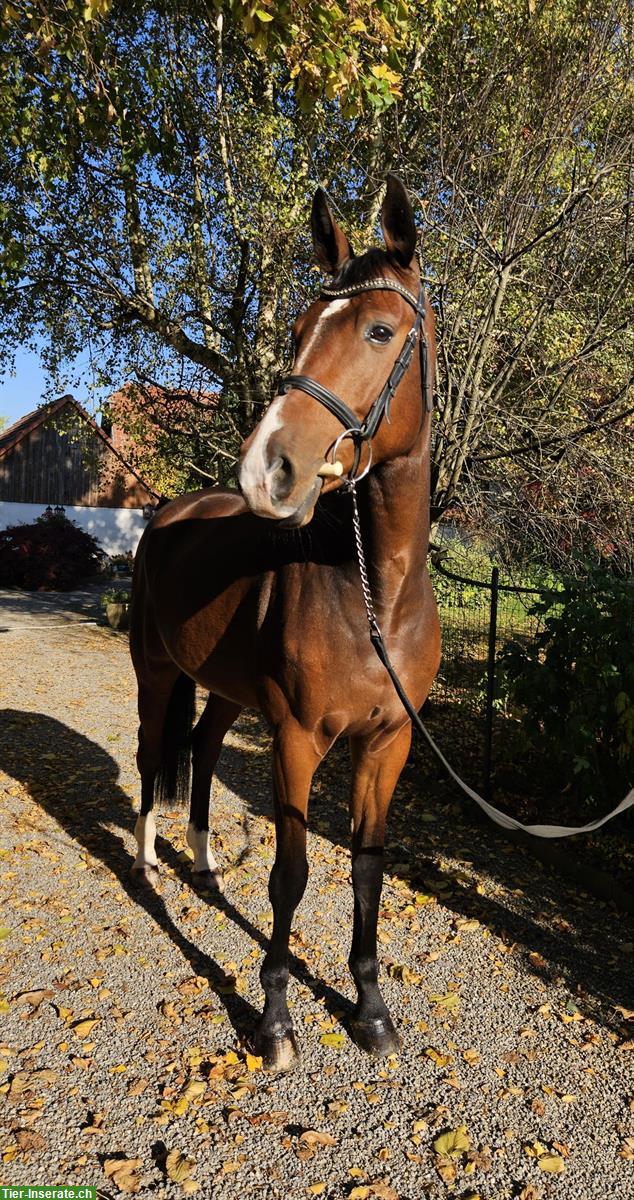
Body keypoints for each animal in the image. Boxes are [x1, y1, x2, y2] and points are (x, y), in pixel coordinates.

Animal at [129, 174, 441, 1070]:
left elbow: (367, 869)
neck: (378, 598)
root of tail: (172, 511)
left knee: (200, 750)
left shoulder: (387, 743)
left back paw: (204, 867)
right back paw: (150, 863)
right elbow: (291, 876)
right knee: (151, 753)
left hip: (226, 690)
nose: (267, 469)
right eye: (299, 331)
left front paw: (371, 1011)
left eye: (380, 330)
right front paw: (274, 1021)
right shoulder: (298, 739)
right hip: (156, 671)